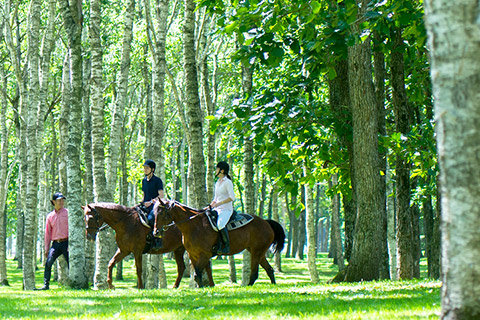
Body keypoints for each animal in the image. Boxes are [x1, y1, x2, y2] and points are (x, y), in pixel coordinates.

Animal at [84, 204, 214, 288]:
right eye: (84, 218)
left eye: (91, 218)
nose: (89, 236)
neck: (125, 222)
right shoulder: (123, 251)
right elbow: (111, 263)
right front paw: (110, 284)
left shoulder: (137, 251)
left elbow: (139, 269)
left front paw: (141, 287)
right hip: (179, 250)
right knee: (182, 267)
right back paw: (175, 286)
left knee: (204, 264)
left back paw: (209, 284)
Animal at [154, 200, 284, 288]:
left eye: (161, 213)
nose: (156, 232)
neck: (193, 226)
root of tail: (266, 223)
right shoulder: (193, 255)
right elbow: (198, 274)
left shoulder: (204, 254)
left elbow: (197, 274)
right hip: (258, 253)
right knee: (269, 269)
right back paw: (273, 285)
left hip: (256, 253)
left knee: (255, 273)